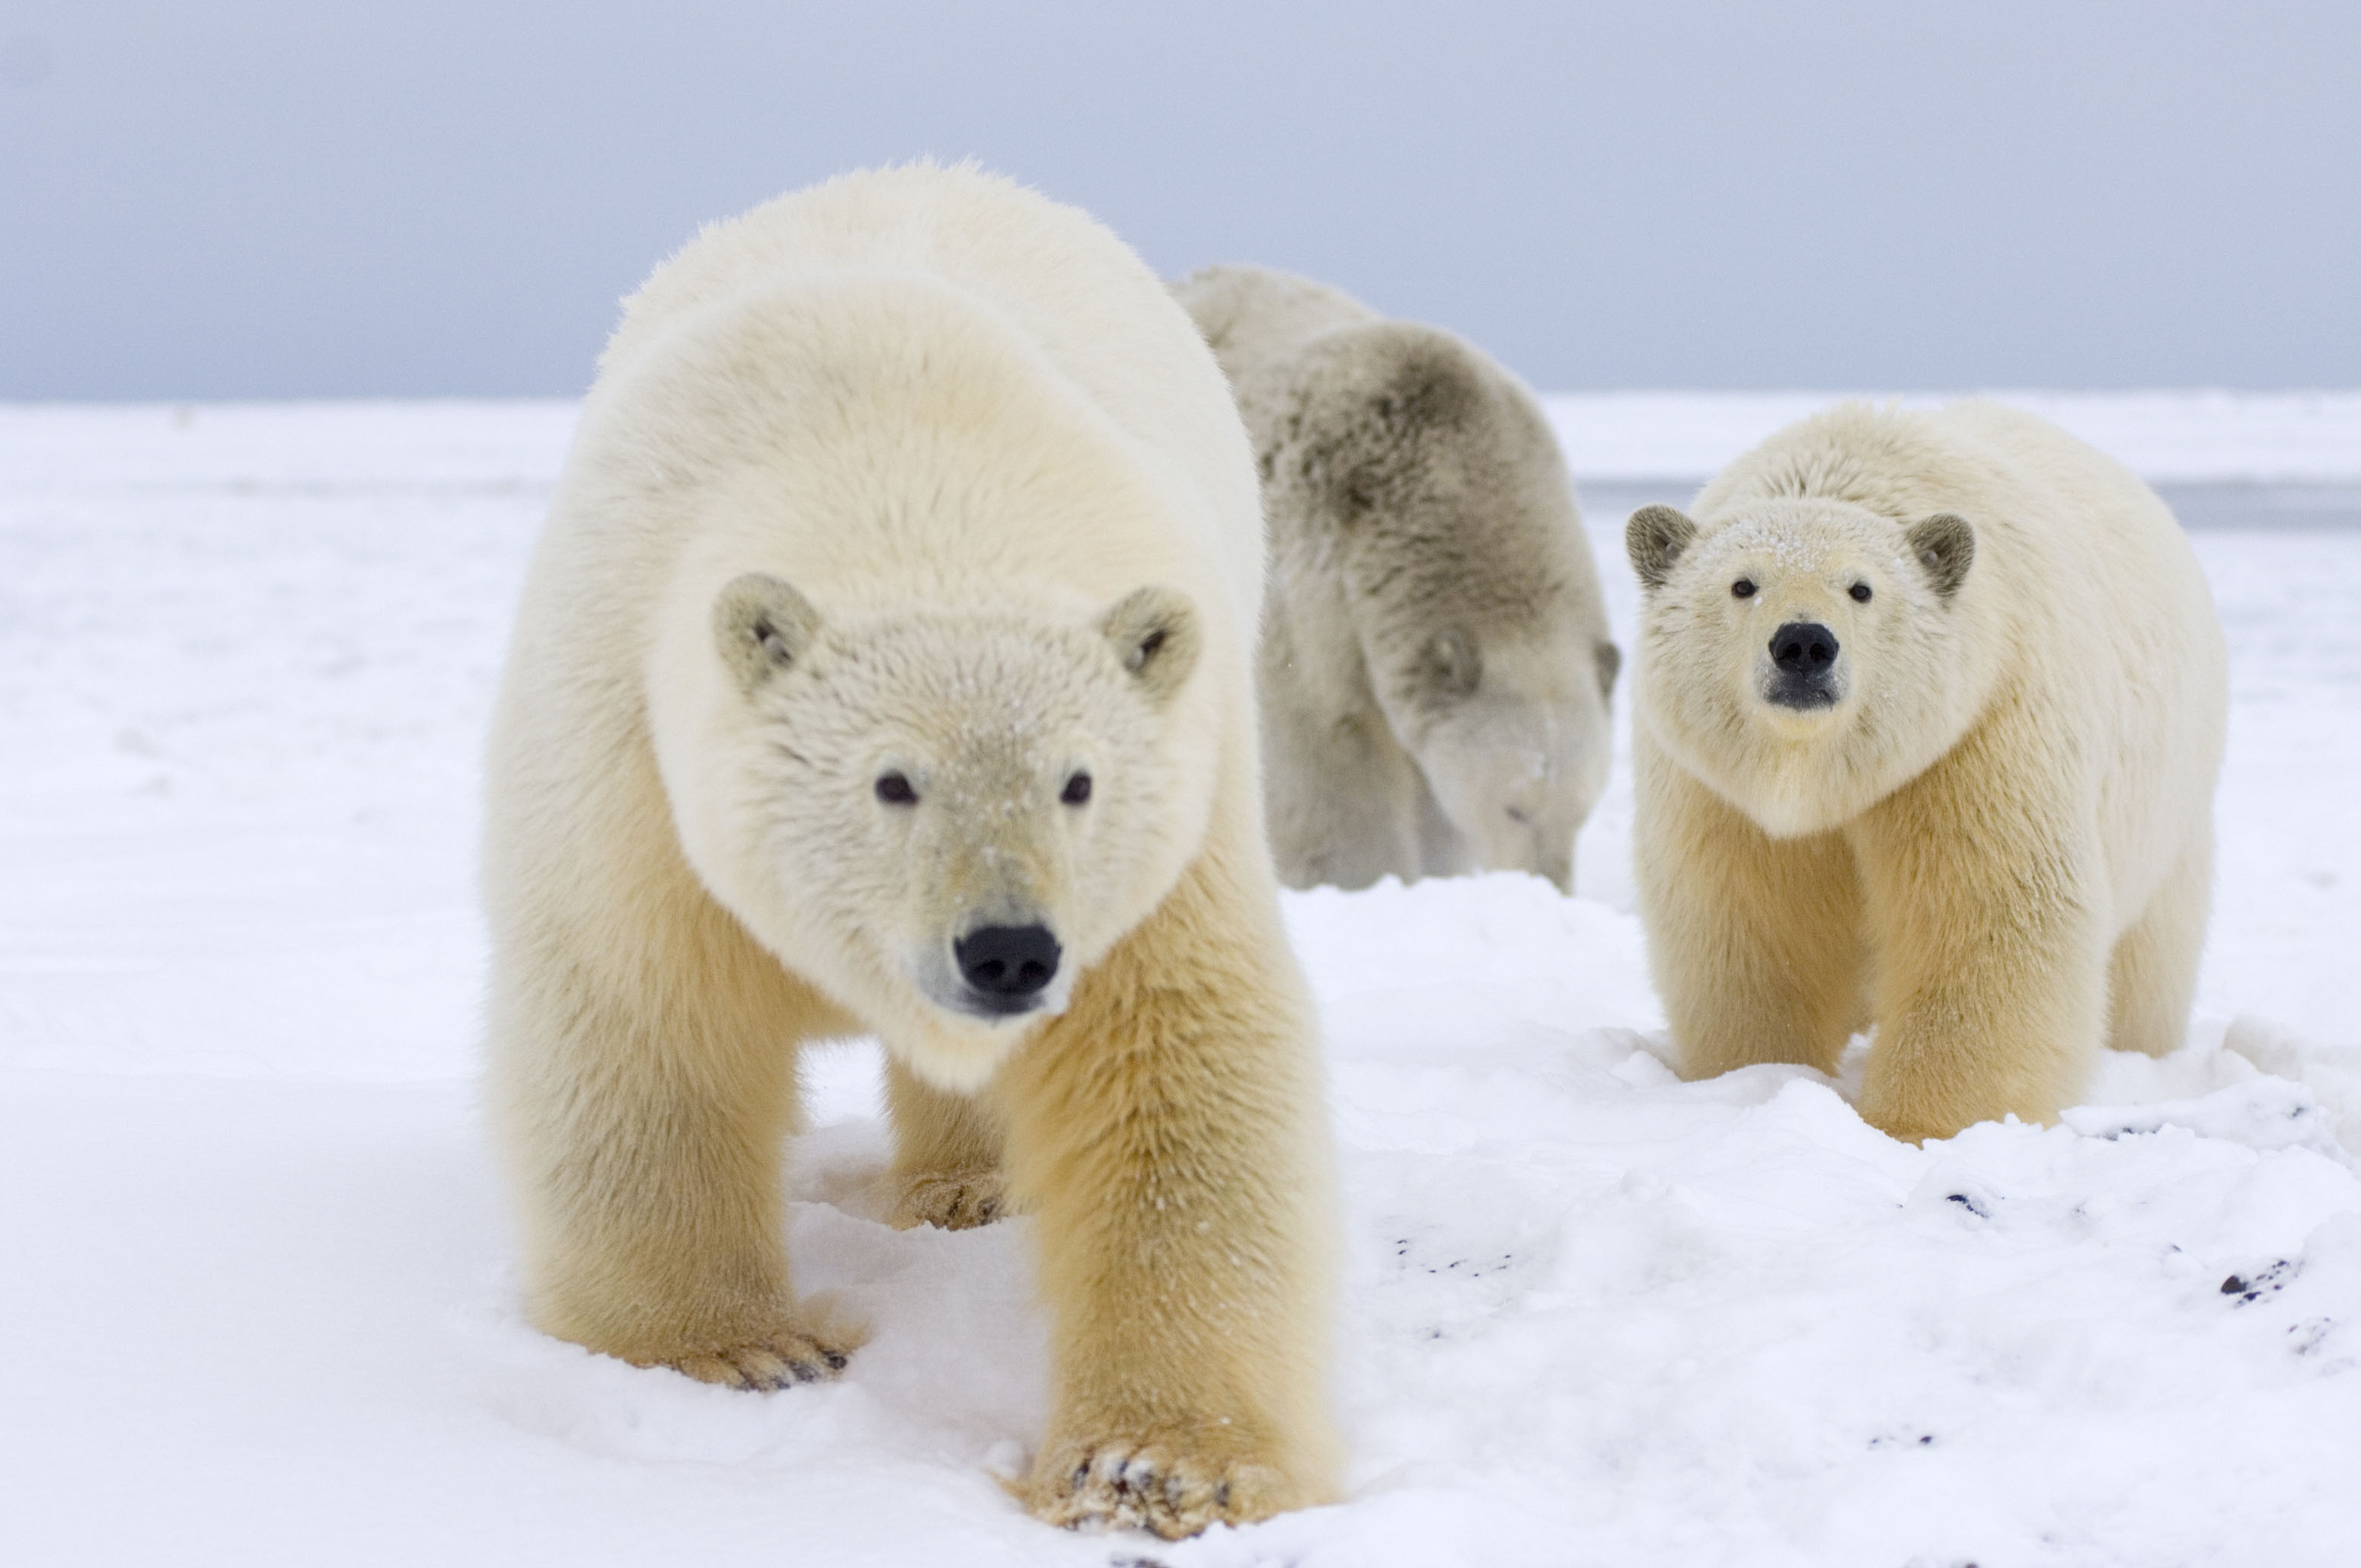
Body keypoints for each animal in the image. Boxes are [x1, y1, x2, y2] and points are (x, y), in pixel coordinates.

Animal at [474, 165, 1350, 1539]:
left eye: (1077, 780)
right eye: (892, 779)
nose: (1008, 950)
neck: (904, 451)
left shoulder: (1174, 815)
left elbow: (1177, 1064)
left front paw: (1156, 1467)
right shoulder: (630, 763)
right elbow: (642, 1024)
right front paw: (737, 1351)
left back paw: (968, 1188)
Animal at [1166, 267, 1615, 893]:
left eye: (1582, 809)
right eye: (1515, 808)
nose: (1547, 886)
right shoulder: (1309, 584)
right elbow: (1323, 749)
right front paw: (1359, 876)